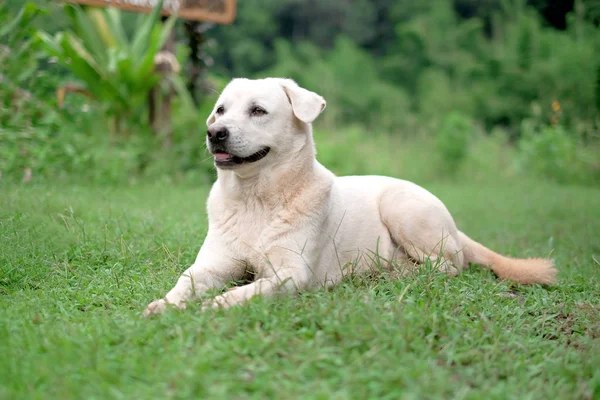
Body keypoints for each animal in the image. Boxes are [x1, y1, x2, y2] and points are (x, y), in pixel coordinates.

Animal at [143, 78, 556, 316]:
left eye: (258, 110)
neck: (256, 199)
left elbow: (245, 292)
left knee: (447, 265)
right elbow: (185, 282)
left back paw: (392, 273)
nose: (215, 133)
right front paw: (164, 305)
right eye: (220, 110)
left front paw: (214, 305)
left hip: (403, 209)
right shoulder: (212, 265)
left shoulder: (290, 275)